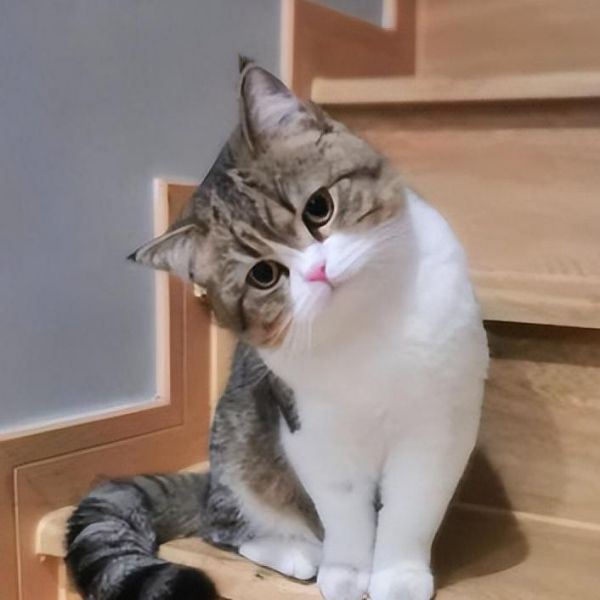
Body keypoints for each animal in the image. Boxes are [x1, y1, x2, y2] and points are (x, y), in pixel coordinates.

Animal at [66, 61, 488, 600]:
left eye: (318, 207)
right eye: (263, 275)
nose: (319, 272)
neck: (369, 325)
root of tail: (208, 481)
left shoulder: (438, 426)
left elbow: (412, 509)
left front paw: (399, 576)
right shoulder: (313, 431)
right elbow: (345, 513)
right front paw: (346, 571)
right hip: (239, 450)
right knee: (224, 525)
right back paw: (297, 551)